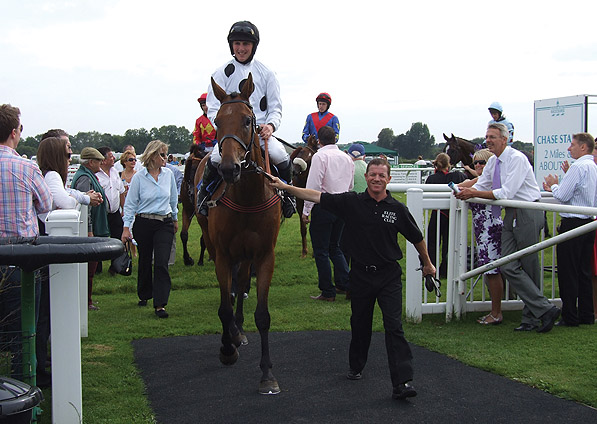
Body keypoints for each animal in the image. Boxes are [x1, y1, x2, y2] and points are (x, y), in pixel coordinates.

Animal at [193, 73, 282, 394]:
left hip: (246, 255)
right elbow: (223, 308)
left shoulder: (264, 255)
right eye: (217, 121)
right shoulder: (221, 254)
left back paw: (239, 330)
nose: (230, 168)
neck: (247, 198)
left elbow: (262, 315)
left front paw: (267, 373)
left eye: (247, 120)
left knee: (241, 283)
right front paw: (227, 348)